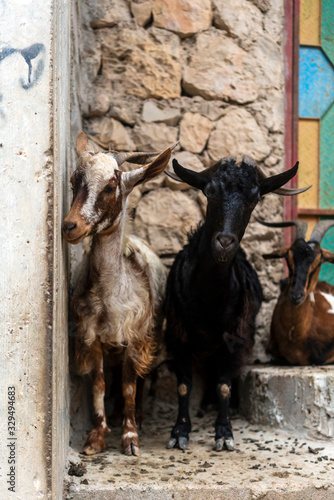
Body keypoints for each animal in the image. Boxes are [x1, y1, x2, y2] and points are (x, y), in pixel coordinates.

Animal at [62, 133, 174, 458]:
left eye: (110, 187)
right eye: (74, 181)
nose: (70, 226)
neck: (109, 297)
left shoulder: (136, 336)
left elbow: (129, 384)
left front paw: (130, 436)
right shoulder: (92, 336)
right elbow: (100, 383)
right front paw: (96, 437)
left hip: (153, 334)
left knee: (142, 377)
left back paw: (141, 415)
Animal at [166, 157, 310, 454]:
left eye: (254, 199)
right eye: (209, 191)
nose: (224, 242)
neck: (207, 296)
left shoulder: (235, 336)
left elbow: (224, 384)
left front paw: (224, 433)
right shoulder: (177, 332)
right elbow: (184, 385)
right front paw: (180, 432)